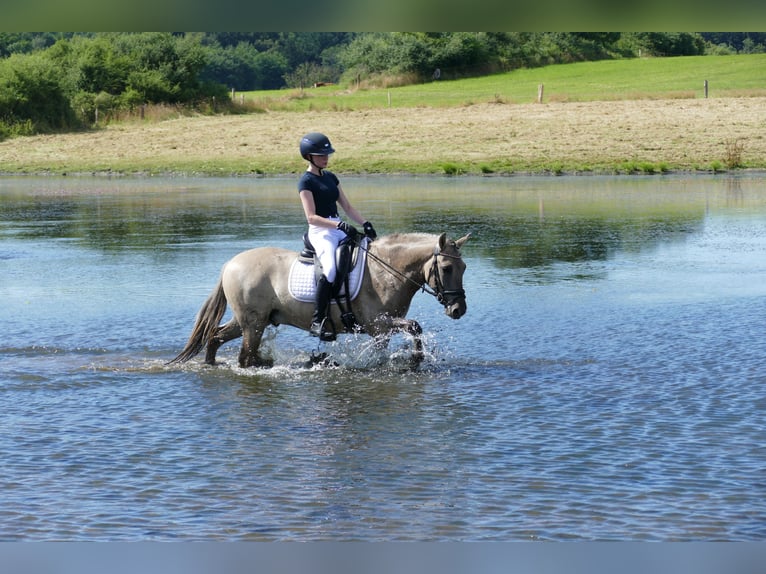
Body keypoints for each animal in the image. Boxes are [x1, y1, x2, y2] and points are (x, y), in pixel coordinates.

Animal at [168, 232, 470, 368]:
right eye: (446, 269)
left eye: (464, 267)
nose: (458, 309)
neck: (385, 270)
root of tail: (230, 264)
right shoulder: (379, 325)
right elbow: (413, 328)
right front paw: (414, 359)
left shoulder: (381, 329)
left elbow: (409, 333)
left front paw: (411, 359)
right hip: (253, 325)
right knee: (245, 356)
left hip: (251, 321)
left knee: (216, 336)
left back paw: (211, 364)